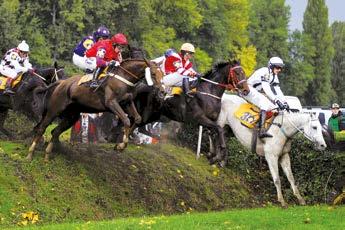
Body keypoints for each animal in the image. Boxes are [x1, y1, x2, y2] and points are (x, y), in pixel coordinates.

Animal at [26, 58, 163, 161]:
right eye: (153, 74)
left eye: (162, 74)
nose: (162, 91)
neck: (124, 78)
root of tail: (61, 83)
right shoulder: (111, 103)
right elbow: (126, 120)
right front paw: (120, 145)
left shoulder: (127, 103)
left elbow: (138, 119)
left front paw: (121, 143)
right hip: (54, 110)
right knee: (42, 128)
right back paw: (30, 154)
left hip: (72, 116)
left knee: (55, 132)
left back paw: (47, 156)